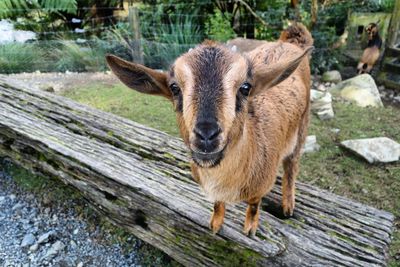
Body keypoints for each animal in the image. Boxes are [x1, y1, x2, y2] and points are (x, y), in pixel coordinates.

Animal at [108, 23, 314, 237]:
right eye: (174, 88)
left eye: (245, 87)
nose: (206, 135)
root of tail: (291, 42)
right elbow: (217, 203)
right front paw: (215, 224)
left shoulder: (260, 187)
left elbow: (254, 205)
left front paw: (249, 228)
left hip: (302, 127)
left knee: (292, 165)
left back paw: (288, 205)